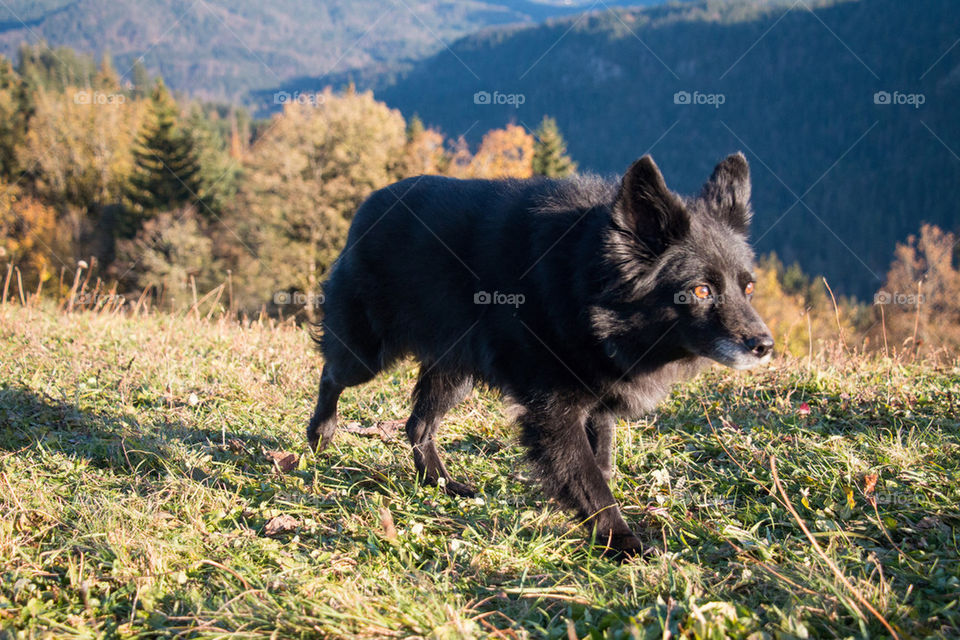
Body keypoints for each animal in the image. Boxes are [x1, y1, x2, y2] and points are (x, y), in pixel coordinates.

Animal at [308, 152, 772, 556]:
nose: (765, 346)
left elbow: (601, 464)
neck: (587, 281)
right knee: (332, 375)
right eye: (701, 290)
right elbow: (590, 481)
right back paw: (321, 433)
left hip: (454, 373)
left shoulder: (596, 403)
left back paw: (441, 483)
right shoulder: (554, 414)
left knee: (417, 425)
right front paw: (622, 544)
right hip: (367, 353)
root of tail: (370, 204)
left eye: (748, 287)